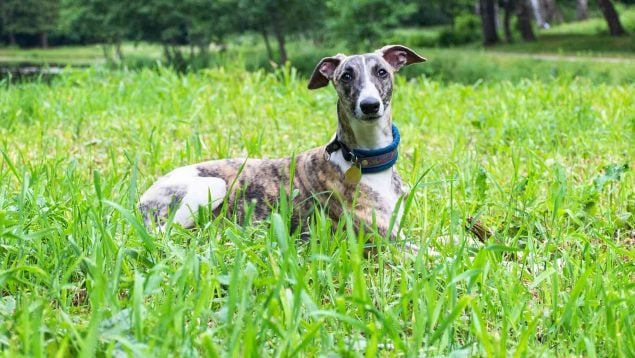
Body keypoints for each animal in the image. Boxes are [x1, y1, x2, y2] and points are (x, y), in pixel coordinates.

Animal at [139, 45, 428, 241]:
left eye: (382, 72)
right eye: (346, 76)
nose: (369, 106)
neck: (363, 158)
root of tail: (143, 197)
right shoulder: (386, 239)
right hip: (211, 186)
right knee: (164, 233)